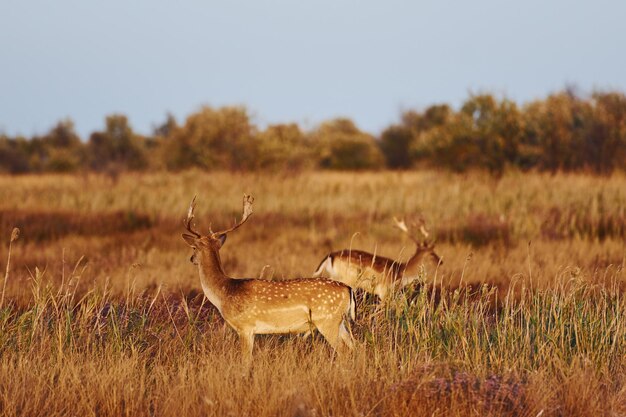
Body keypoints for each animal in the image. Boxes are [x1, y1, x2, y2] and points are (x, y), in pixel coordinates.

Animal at [183, 194, 354, 360]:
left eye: (193, 247)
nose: (191, 259)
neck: (225, 293)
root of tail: (348, 289)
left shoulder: (245, 327)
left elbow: (245, 361)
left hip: (327, 320)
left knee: (344, 351)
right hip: (340, 322)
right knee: (355, 346)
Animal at [310, 216, 438, 300]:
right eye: (432, 253)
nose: (440, 261)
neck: (401, 272)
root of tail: (330, 256)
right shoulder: (384, 292)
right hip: (346, 280)